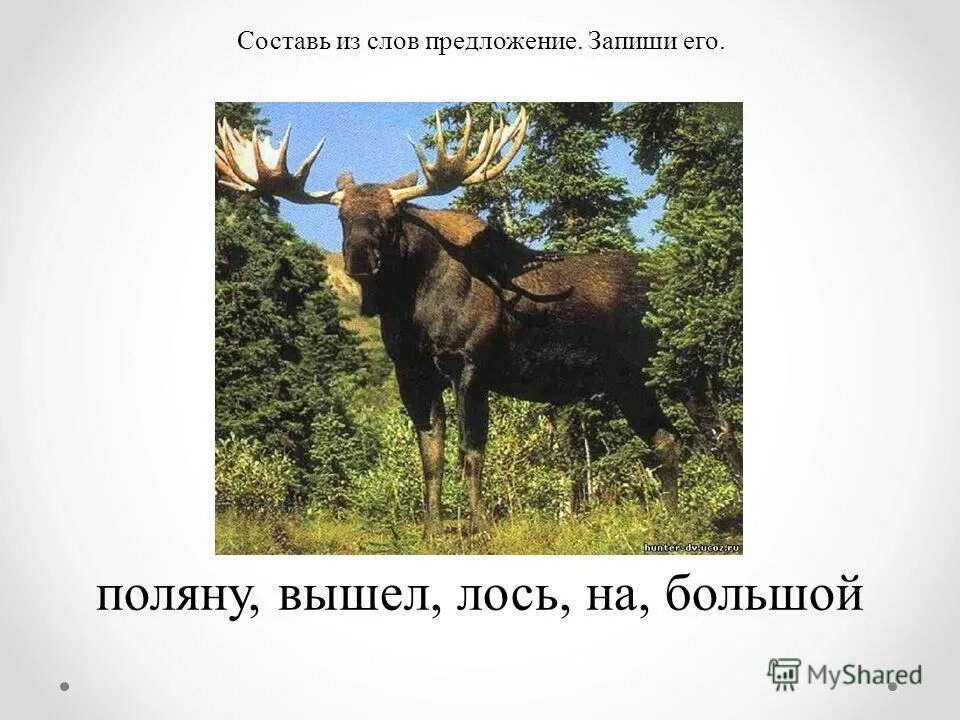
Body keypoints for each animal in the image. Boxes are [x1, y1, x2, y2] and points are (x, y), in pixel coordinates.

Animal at [215, 107, 687, 538]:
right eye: (342, 218)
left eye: (391, 219)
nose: (361, 260)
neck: (412, 308)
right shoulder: (413, 372)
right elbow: (431, 455)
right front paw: (431, 530)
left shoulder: (470, 366)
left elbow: (470, 451)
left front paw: (478, 527)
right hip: (628, 383)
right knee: (666, 439)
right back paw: (670, 518)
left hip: (678, 370)